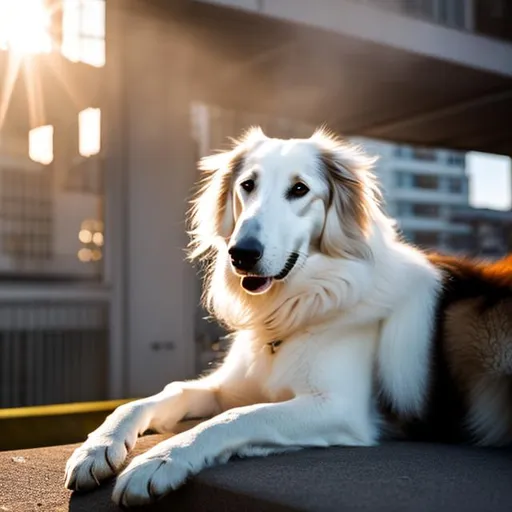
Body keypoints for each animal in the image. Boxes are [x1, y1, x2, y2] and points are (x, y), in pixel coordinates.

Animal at [66, 128, 512, 508]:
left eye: (300, 190)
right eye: (247, 185)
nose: (242, 253)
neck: (297, 306)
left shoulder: (339, 408)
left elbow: (239, 417)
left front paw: (161, 459)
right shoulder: (228, 387)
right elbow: (158, 396)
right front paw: (98, 446)